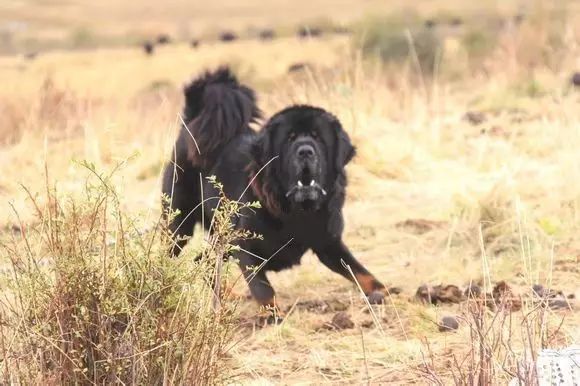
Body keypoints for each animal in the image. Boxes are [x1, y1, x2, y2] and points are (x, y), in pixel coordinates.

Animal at [162, 67, 390, 314]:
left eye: (318, 138)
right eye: (289, 139)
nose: (305, 151)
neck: (297, 210)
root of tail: (190, 124)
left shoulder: (328, 243)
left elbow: (359, 271)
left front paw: (383, 291)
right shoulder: (244, 246)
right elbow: (262, 287)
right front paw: (273, 314)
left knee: (204, 261)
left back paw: (226, 297)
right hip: (180, 224)